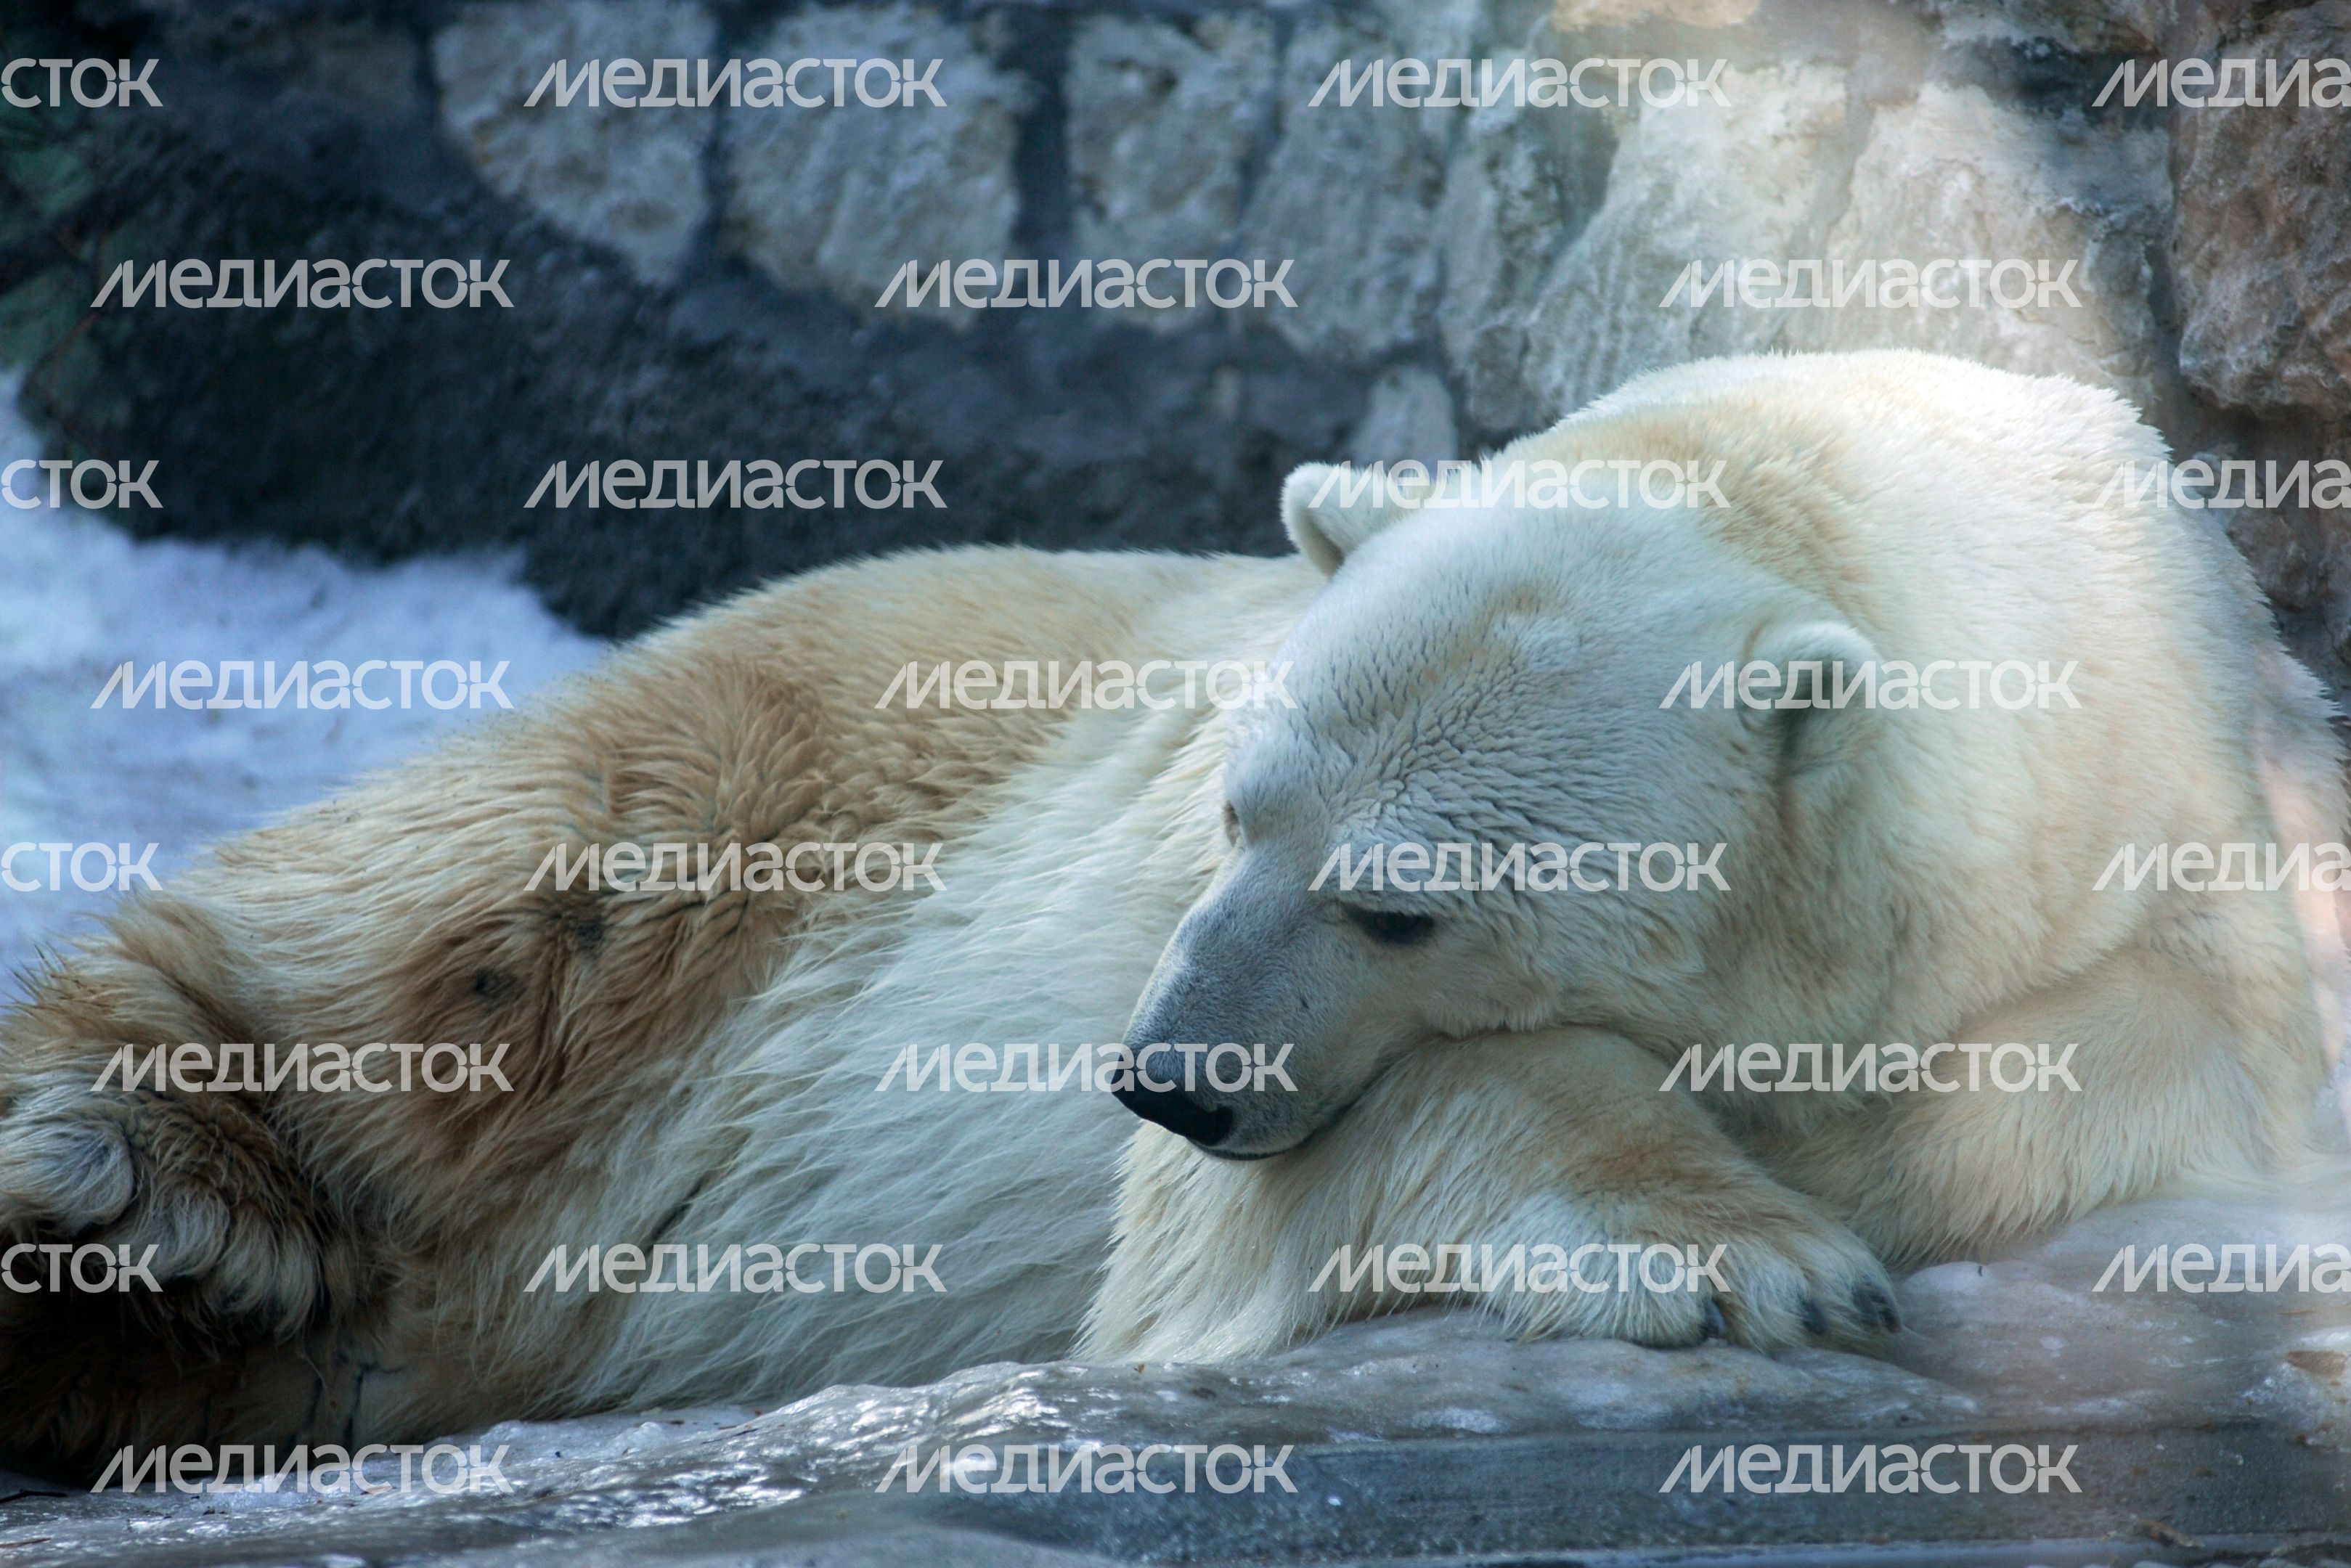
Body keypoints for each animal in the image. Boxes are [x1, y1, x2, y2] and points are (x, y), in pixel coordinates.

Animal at [0, 349, 2341, 1474]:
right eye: (1230, 806)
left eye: (1401, 904)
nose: (1160, 1076)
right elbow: (1280, 1213)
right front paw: (1729, 1250)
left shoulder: (2204, 908)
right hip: (805, 759)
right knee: (464, 912)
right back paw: (133, 1193)